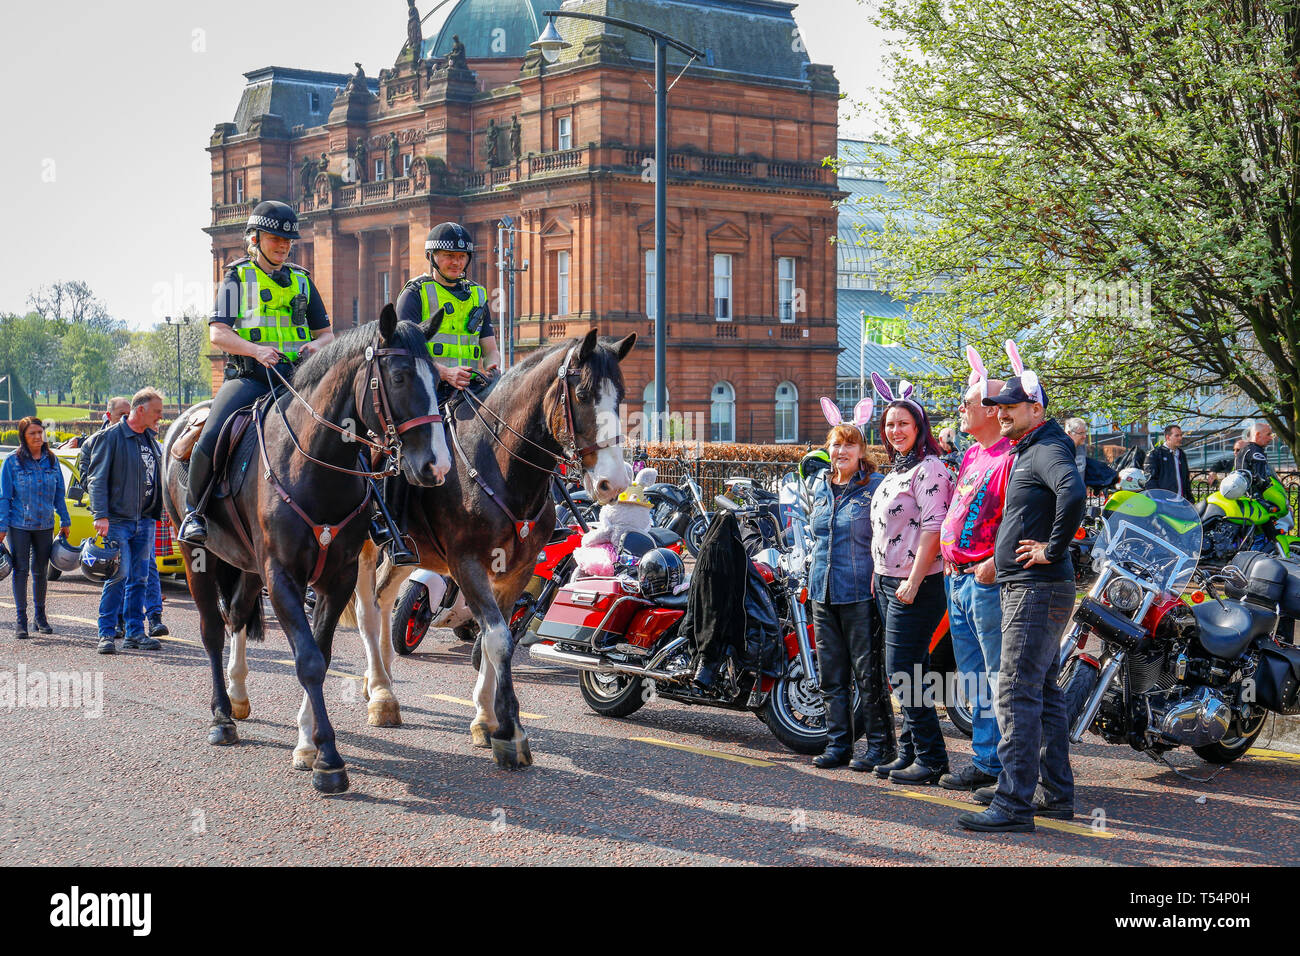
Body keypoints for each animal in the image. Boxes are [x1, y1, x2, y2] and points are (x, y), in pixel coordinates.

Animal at [161, 306, 452, 790]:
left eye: (440, 383)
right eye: (398, 377)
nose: (437, 466)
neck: (312, 465)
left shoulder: (337, 576)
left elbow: (321, 653)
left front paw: (309, 744)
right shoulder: (283, 578)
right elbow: (308, 661)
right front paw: (328, 758)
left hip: (248, 565)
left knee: (237, 615)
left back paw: (238, 695)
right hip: (196, 557)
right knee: (212, 630)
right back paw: (222, 717)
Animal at [332, 329, 637, 770]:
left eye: (622, 395)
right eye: (582, 393)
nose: (614, 481)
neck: (499, 466)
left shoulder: (515, 571)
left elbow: (500, 637)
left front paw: (485, 720)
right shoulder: (467, 564)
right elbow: (496, 640)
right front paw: (509, 732)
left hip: (411, 551)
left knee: (385, 598)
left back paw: (382, 680)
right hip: (366, 547)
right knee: (366, 610)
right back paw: (381, 696)